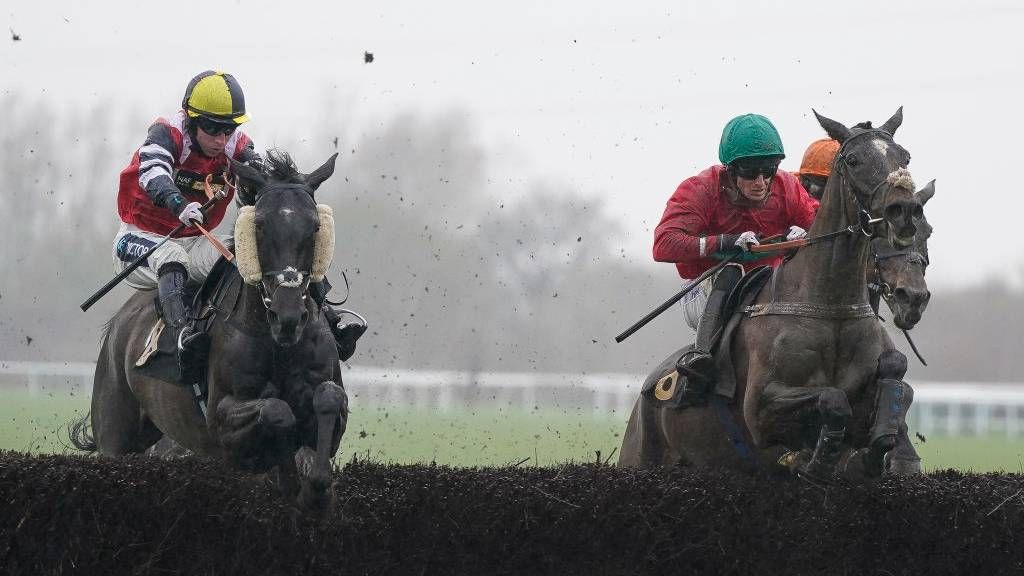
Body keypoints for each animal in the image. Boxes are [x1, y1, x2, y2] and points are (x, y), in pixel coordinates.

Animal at [73, 150, 348, 508]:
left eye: (315, 226)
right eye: (259, 225)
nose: (287, 317)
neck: (278, 344)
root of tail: (118, 325)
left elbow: (328, 398)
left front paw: (315, 488)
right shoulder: (221, 423)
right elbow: (276, 411)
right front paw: (287, 479)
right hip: (115, 434)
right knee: (170, 259)